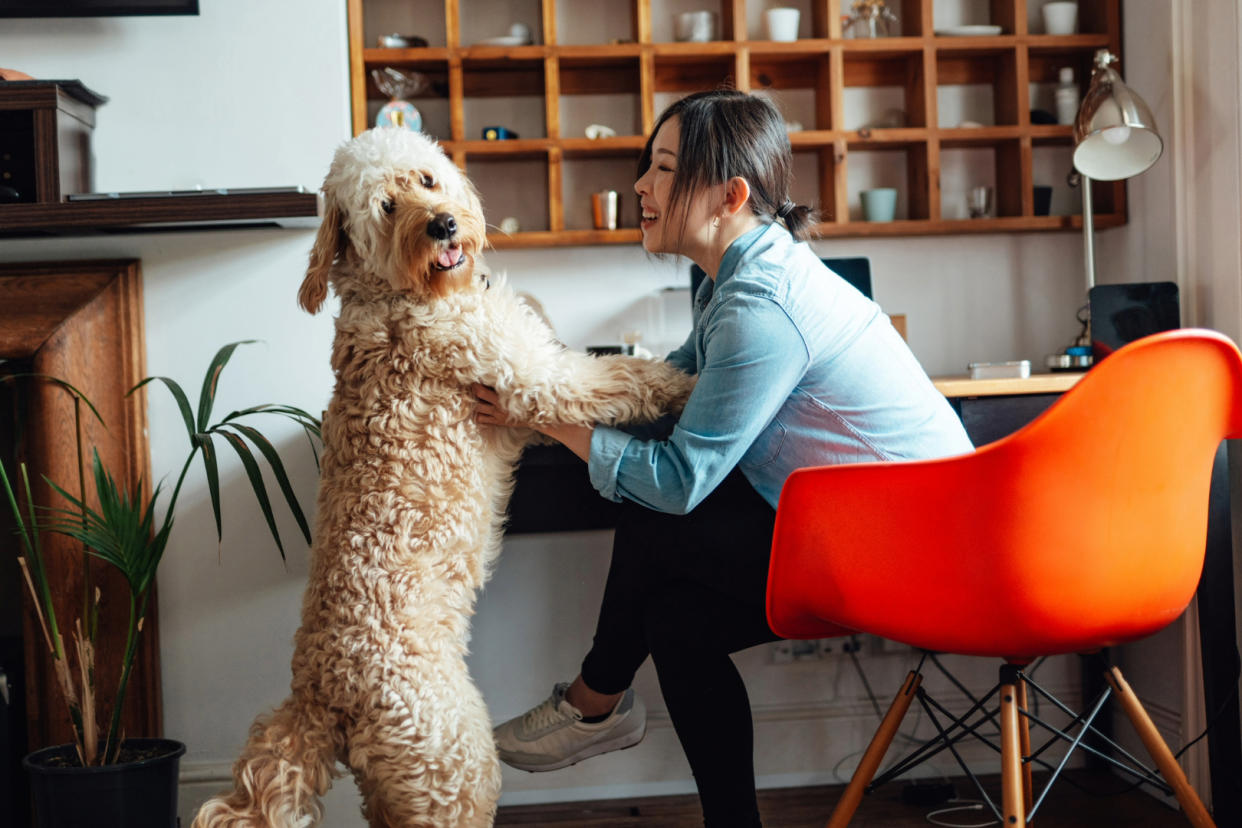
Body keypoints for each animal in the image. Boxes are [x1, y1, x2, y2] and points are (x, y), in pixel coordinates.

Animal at [194, 126, 700, 824]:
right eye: (385, 206)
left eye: (427, 180)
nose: (442, 224)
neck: (401, 295)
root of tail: (321, 697)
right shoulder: (539, 379)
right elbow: (624, 376)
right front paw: (690, 384)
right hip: (454, 762)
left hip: (396, 782)